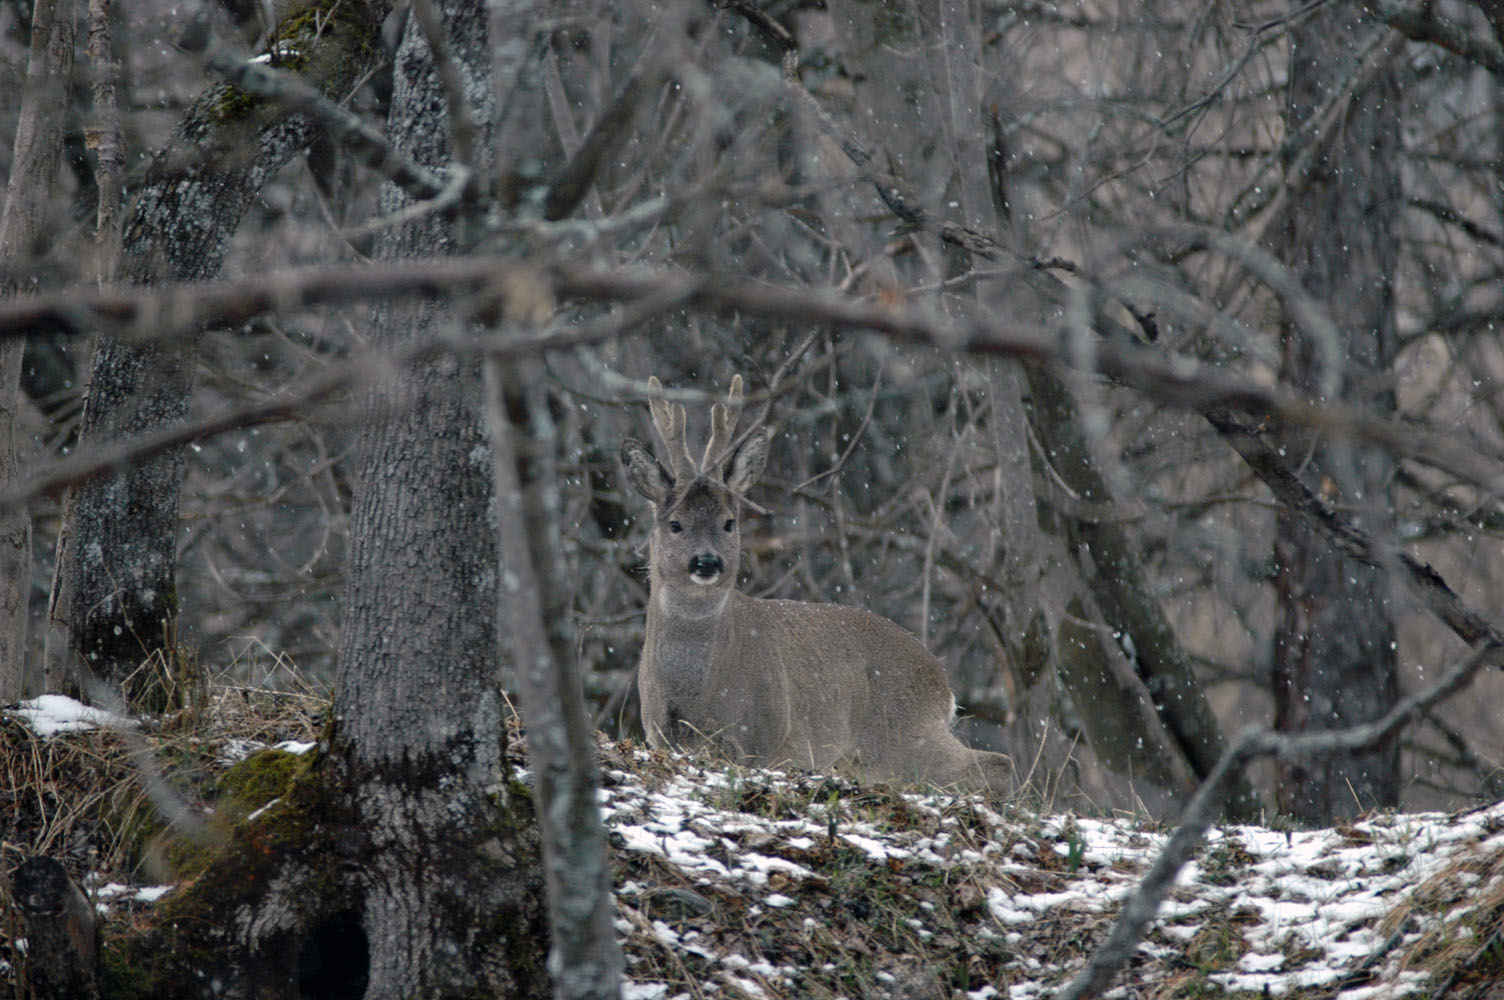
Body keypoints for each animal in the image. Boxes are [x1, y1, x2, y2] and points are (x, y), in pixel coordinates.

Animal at [616, 374, 1016, 793]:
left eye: (729, 522)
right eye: (675, 524)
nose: (707, 561)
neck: (692, 687)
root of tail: (942, 683)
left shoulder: (764, 734)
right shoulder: (659, 733)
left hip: (902, 738)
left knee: (996, 764)